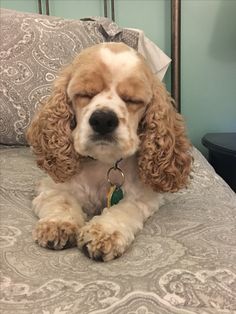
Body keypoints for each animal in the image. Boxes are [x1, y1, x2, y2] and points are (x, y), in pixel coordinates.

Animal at [26, 43, 192, 262]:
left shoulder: (144, 197)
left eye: (133, 100)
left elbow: (123, 209)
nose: (103, 120)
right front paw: (59, 224)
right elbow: (62, 201)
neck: (103, 162)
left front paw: (104, 233)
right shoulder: (51, 187)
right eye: (85, 93)